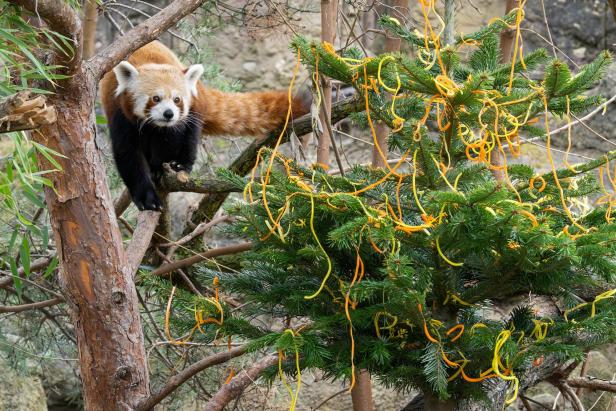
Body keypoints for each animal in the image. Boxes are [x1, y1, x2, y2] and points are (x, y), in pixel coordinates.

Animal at [102, 41, 312, 211]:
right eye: (156, 98)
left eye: (177, 99)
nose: (169, 114)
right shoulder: (119, 114)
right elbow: (129, 155)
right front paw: (148, 198)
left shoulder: (178, 122)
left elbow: (171, 139)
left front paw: (164, 166)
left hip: (195, 108)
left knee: (190, 138)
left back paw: (180, 164)